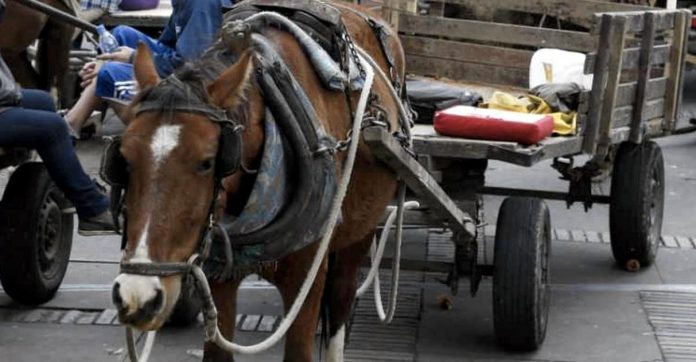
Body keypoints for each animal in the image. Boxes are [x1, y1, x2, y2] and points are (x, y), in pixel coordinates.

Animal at [111, 2, 406, 362]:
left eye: (207, 162)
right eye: (124, 158)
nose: (138, 295)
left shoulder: (306, 280)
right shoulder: (217, 277)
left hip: (360, 234)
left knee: (340, 301)